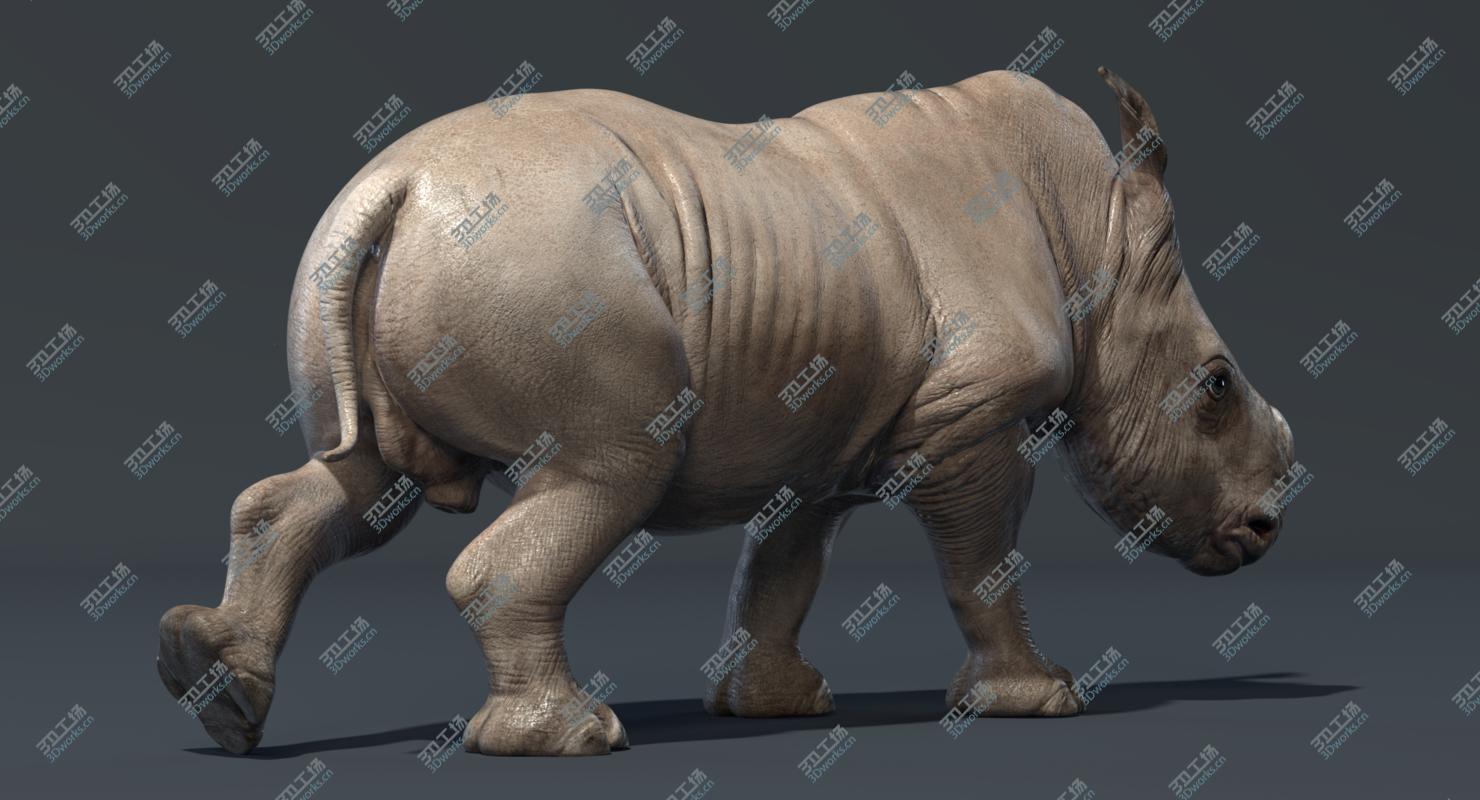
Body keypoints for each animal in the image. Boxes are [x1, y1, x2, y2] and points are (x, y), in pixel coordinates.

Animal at [157, 66, 1294, 757]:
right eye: (1216, 385)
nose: (1265, 529)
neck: (1088, 233)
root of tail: (391, 188)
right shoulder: (971, 415)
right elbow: (981, 563)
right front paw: (1041, 698)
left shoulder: (829, 434)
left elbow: (781, 568)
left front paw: (776, 704)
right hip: (541, 257)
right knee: (611, 465)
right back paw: (577, 736)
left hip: (378, 262)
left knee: (357, 482)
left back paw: (218, 693)